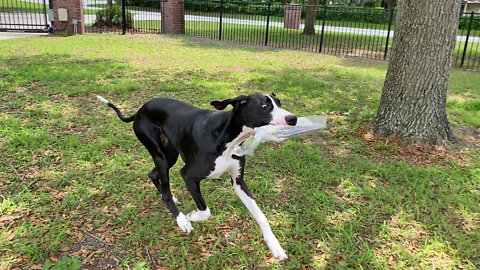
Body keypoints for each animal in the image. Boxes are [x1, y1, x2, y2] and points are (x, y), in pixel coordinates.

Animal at [97, 93, 296, 260]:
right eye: (265, 106)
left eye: (279, 103)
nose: (293, 118)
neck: (227, 137)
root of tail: (140, 110)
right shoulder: (188, 175)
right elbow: (205, 211)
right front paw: (190, 217)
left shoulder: (238, 182)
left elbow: (261, 216)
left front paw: (274, 245)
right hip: (161, 157)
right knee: (165, 190)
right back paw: (180, 220)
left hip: (169, 155)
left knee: (153, 174)